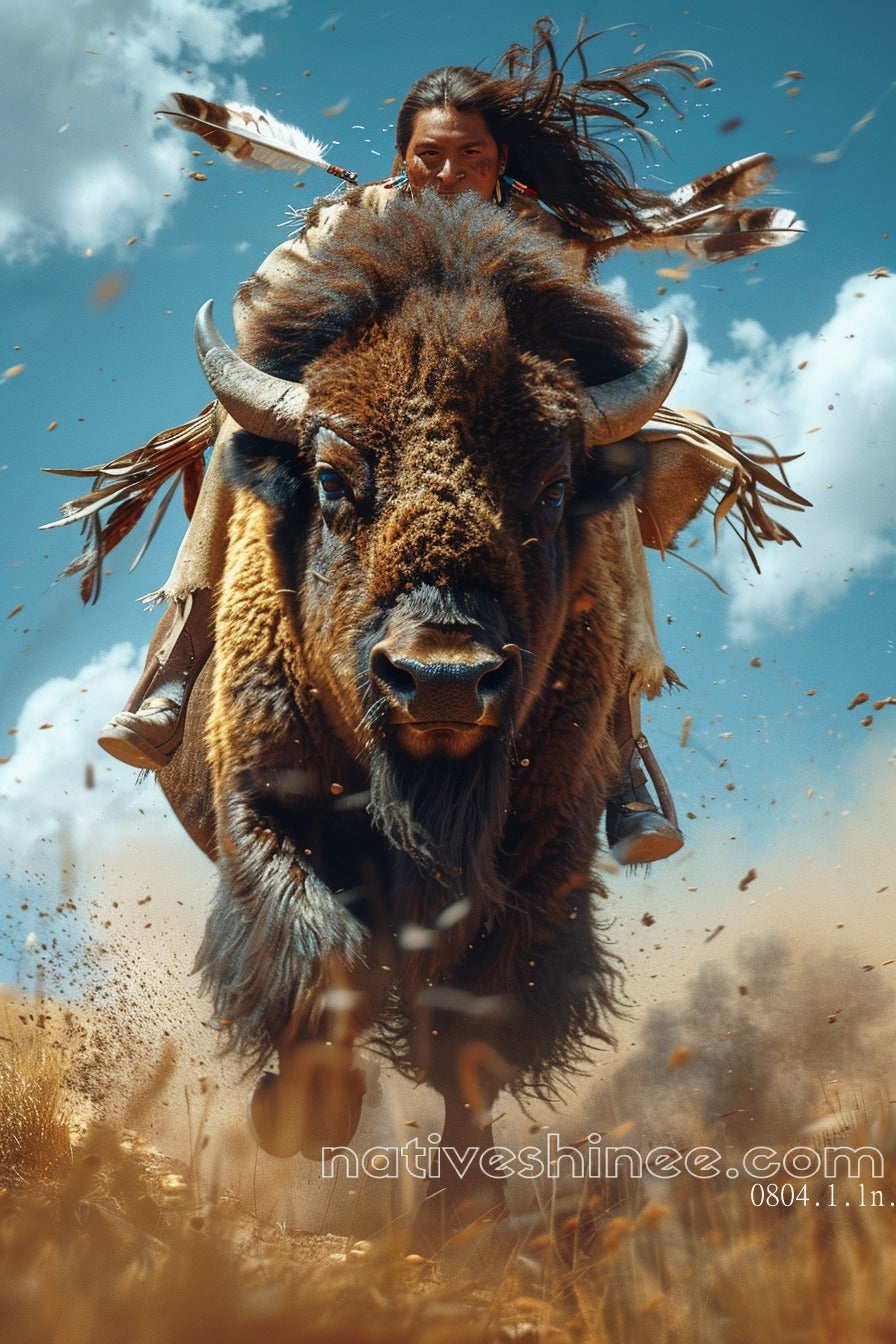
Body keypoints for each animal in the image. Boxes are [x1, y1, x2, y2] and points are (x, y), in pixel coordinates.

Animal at [158, 191, 687, 1233]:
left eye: (554, 488)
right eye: (332, 479)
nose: (441, 679)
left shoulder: (543, 863)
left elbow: (472, 1027)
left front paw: (465, 1201)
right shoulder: (266, 812)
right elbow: (323, 960)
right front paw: (301, 1118)